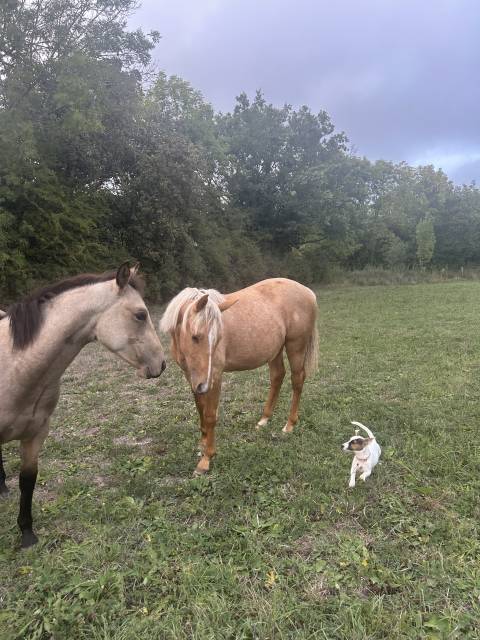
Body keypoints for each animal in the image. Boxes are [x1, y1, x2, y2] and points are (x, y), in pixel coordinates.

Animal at [0, 263, 166, 548]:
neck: (15, 365)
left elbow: (27, 481)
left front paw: (27, 534)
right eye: (141, 315)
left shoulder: (36, 434)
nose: (162, 364)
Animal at [160, 277, 318, 475]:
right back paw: (264, 420)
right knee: (277, 376)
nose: (204, 385)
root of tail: (308, 291)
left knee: (297, 380)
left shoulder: (214, 377)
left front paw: (206, 459)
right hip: (275, 350)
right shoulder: (192, 377)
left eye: (218, 338)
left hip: (295, 346)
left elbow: (210, 415)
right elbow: (200, 410)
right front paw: (202, 443)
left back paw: (289, 425)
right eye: (195, 337)